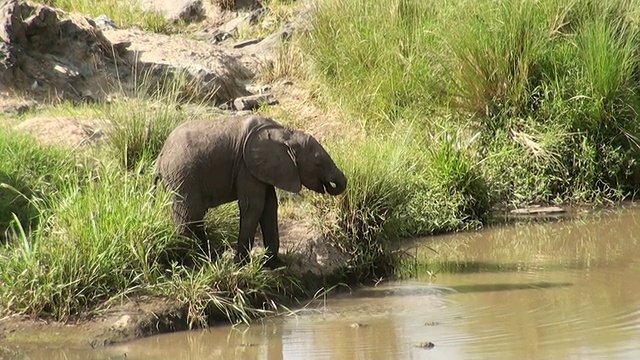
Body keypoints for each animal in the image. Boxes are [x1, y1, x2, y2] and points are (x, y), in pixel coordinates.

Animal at [153, 114, 348, 268]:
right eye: (318, 164)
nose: (333, 184)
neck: (286, 133)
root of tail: (160, 156)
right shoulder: (246, 166)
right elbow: (253, 206)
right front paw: (240, 264)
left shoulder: (262, 169)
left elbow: (269, 206)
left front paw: (275, 265)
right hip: (182, 174)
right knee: (189, 215)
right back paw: (189, 263)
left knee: (195, 216)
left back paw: (209, 258)